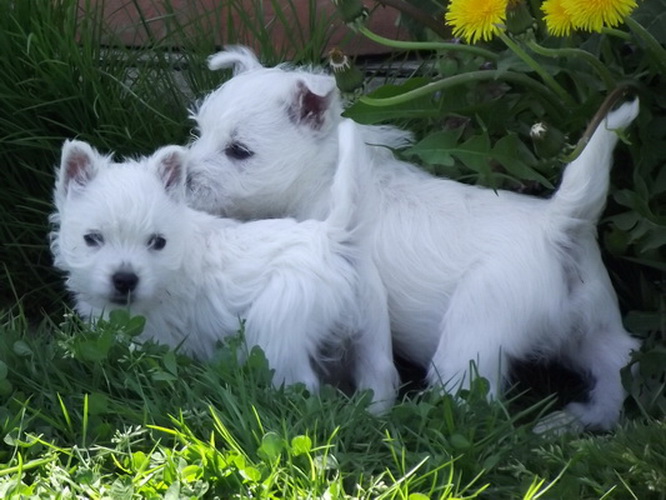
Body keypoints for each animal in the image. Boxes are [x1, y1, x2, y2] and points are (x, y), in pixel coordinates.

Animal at [50, 119, 400, 412]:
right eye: (92, 239)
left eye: (157, 242)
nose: (125, 280)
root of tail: (334, 236)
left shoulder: (153, 338)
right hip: (370, 331)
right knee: (379, 378)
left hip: (278, 335)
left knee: (302, 385)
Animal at [185, 47, 640, 430]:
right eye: (200, 131)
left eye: (239, 150)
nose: (184, 175)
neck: (324, 171)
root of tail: (558, 223)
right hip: (592, 326)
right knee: (617, 367)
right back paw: (579, 420)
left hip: (474, 335)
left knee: (473, 400)